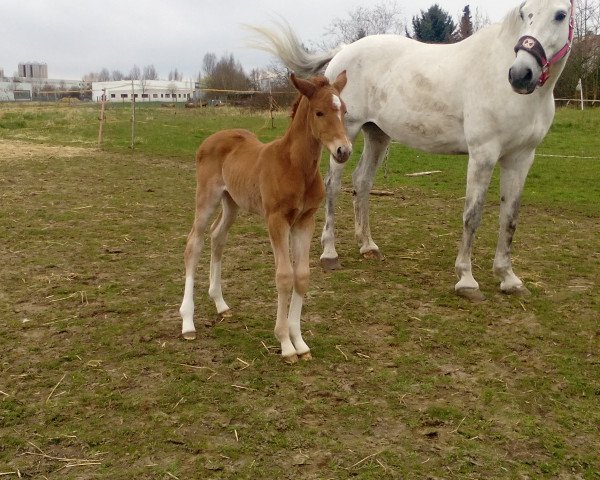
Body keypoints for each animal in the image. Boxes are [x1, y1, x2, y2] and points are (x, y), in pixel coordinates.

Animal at [178, 71, 352, 362]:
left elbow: (301, 276)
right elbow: (284, 276)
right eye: (319, 112)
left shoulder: (305, 220)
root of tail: (212, 138)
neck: (296, 167)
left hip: (232, 202)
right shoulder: (276, 220)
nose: (344, 151)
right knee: (194, 243)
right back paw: (188, 323)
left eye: (345, 111)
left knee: (217, 237)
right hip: (207, 198)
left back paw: (221, 304)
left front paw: (300, 343)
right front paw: (285, 344)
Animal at [250, 0, 576, 300]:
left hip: (377, 135)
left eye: (560, 15)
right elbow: (472, 215)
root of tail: (344, 51)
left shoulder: (520, 159)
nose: (521, 74)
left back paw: (367, 246)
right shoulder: (483, 155)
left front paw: (509, 279)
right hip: (345, 136)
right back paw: (330, 253)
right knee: (333, 186)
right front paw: (467, 280)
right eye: (525, 13)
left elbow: (510, 218)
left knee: (362, 182)